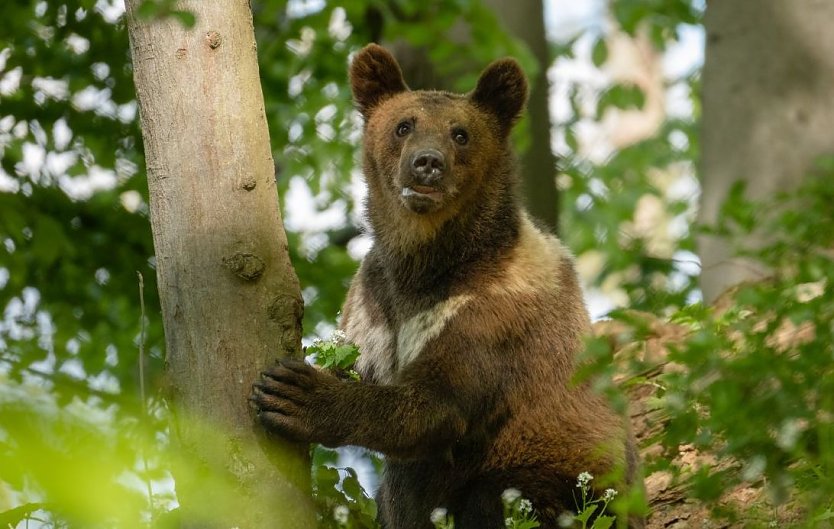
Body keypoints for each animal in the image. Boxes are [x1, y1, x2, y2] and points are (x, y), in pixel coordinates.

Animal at [250, 43, 640, 524]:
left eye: (461, 134)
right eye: (403, 125)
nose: (427, 164)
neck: (427, 265)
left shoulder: (489, 314)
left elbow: (436, 404)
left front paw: (292, 395)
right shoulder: (374, 303)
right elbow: (355, 360)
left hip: (569, 484)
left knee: (492, 498)